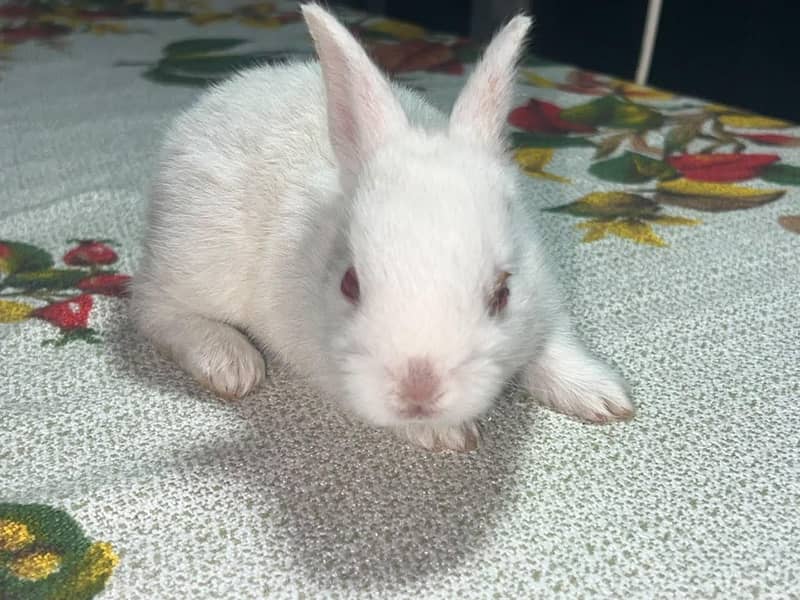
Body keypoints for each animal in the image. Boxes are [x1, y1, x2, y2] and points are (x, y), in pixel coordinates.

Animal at [130, 2, 634, 452]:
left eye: (502, 294)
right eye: (349, 283)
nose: (418, 392)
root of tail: (208, 105)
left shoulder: (544, 299)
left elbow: (554, 349)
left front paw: (605, 399)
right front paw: (445, 435)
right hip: (195, 261)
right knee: (153, 310)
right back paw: (232, 364)